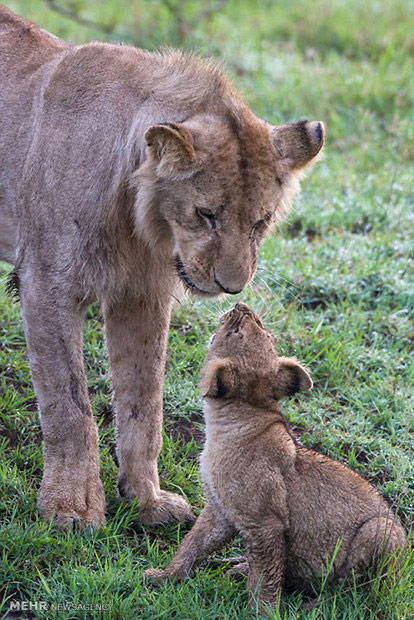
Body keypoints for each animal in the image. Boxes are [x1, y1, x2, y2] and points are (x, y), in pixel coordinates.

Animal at [0, 7, 324, 528]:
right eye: (206, 214)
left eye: (261, 221)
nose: (232, 288)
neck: (136, 221)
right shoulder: (46, 286)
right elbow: (69, 406)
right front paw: (71, 509)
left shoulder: (141, 295)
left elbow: (143, 403)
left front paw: (145, 501)